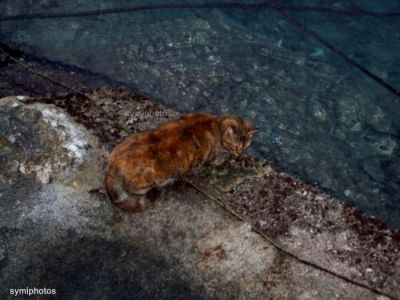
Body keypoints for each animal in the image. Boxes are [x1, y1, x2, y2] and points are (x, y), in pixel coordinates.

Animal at [104, 111, 258, 212]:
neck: (215, 123)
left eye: (245, 146)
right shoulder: (211, 156)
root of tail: (112, 165)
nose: (240, 154)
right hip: (148, 181)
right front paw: (224, 159)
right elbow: (216, 160)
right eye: (236, 147)